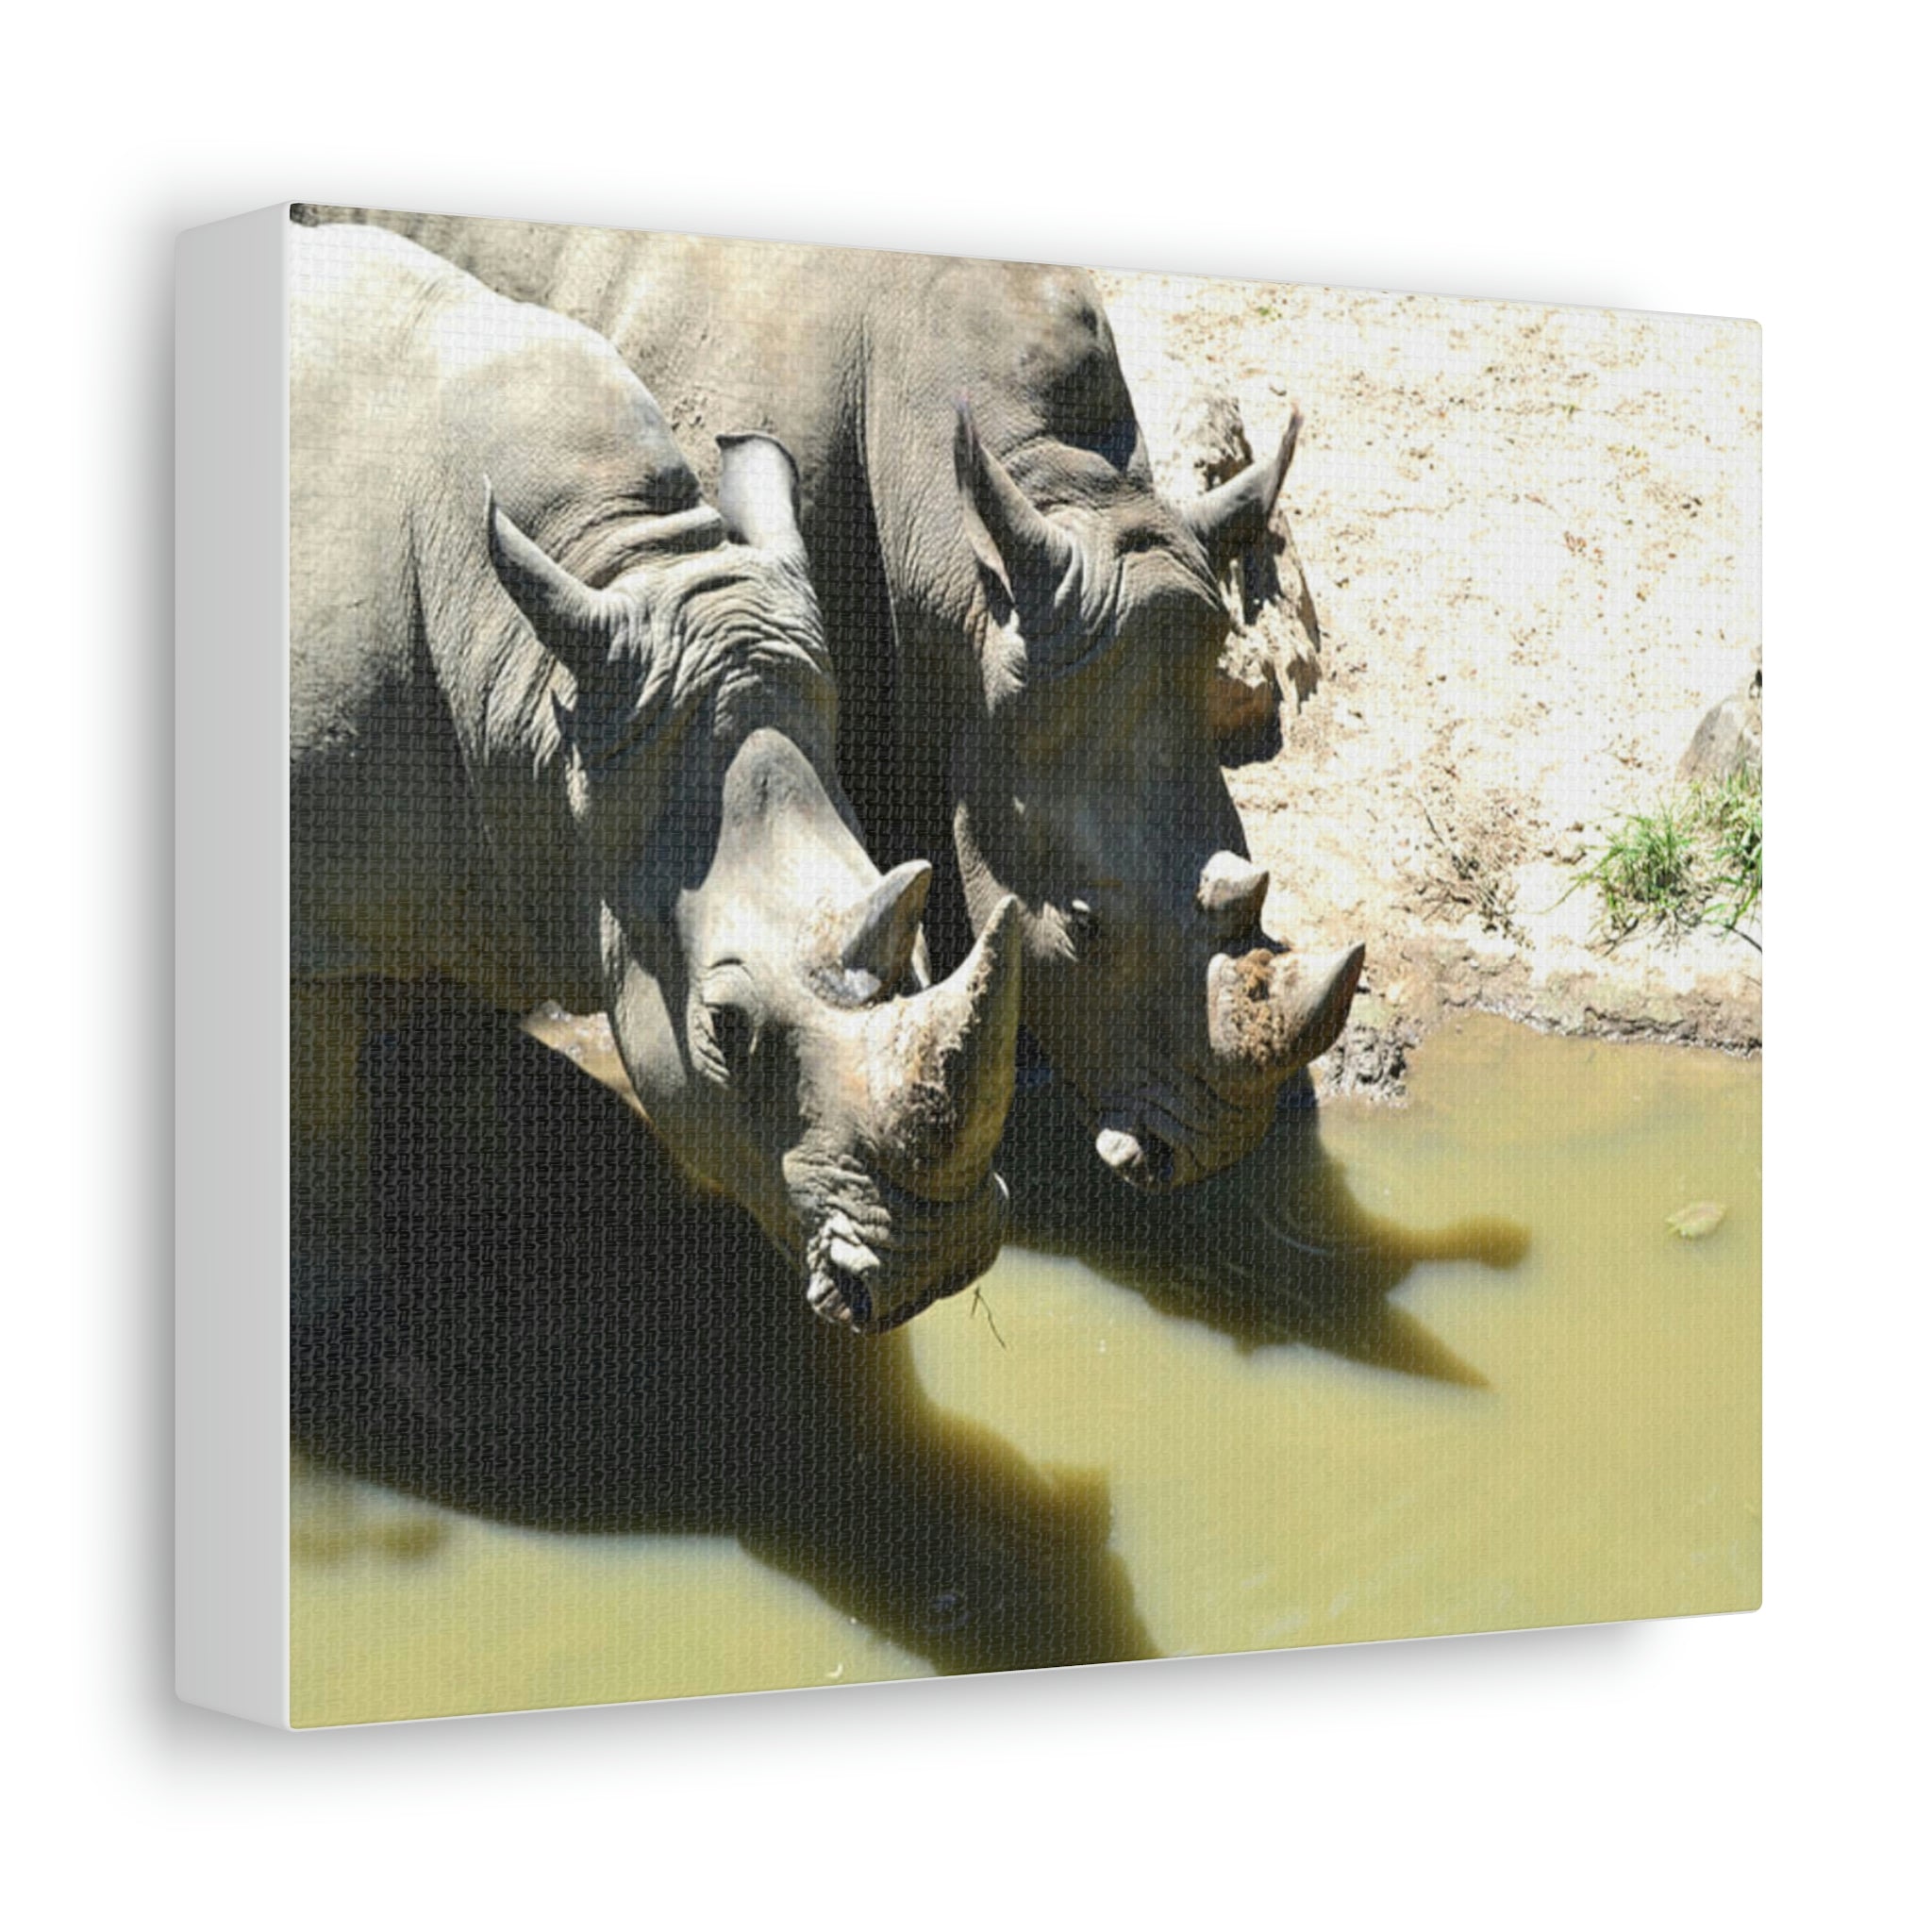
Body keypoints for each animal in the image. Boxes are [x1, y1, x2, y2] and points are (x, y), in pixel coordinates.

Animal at [289, 223, 1021, 1331]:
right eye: (724, 1025)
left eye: (924, 953)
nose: (935, 1267)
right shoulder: (315, 922)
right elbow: (316, 1142)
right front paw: (332, 1313)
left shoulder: (495, 857)